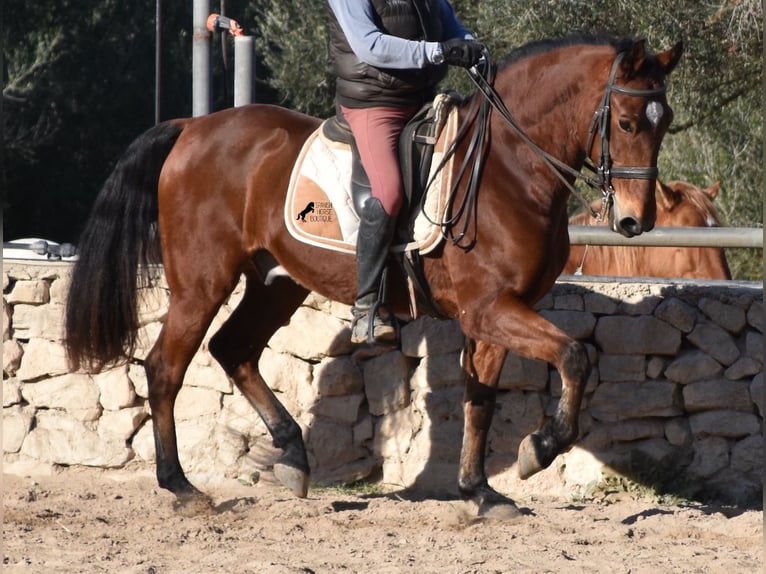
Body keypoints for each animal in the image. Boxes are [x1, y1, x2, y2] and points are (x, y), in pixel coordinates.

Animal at [63, 35, 680, 516]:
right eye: (626, 122)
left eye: (665, 123)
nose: (636, 221)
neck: (508, 168)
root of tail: (192, 127)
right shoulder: (490, 308)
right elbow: (575, 356)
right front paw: (539, 450)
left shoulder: (496, 312)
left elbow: (481, 400)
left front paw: (479, 492)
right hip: (202, 282)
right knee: (165, 367)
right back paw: (183, 487)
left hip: (277, 283)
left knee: (234, 349)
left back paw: (293, 457)